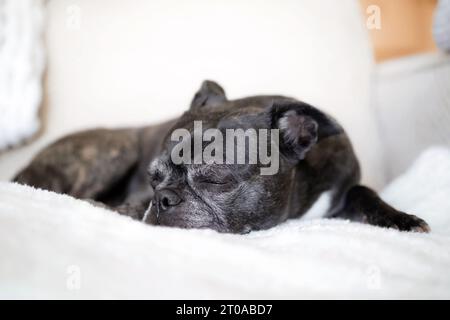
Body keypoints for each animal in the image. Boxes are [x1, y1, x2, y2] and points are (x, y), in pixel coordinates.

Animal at [13, 81, 428, 234]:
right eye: (153, 179)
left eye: (215, 179)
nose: (161, 201)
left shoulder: (345, 185)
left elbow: (364, 193)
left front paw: (401, 219)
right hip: (116, 150)